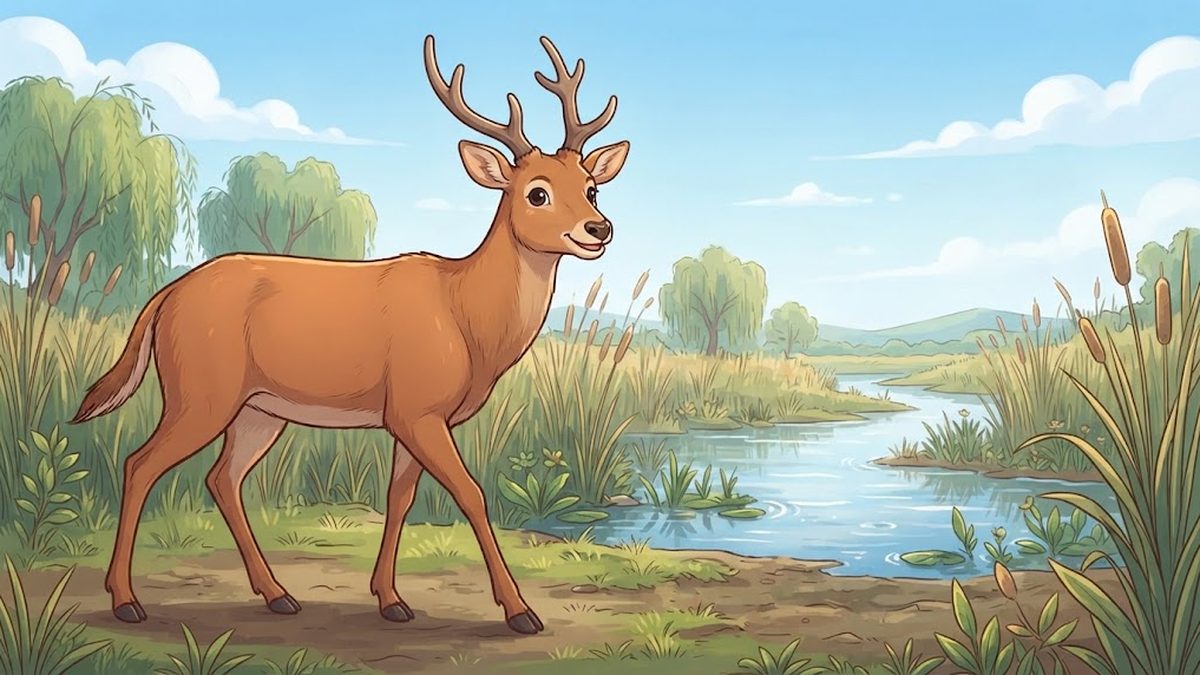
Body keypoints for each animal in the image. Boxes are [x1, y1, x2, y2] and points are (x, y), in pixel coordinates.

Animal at [69, 34, 629, 635]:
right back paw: (127, 601)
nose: (599, 229)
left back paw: (277, 595)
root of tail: (164, 298)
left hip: (258, 407)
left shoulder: (409, 415)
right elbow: (472, 494)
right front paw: (520, 611)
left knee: (222, 477)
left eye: (592, 187)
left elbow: (400, 496)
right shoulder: (417, 408)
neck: (465, 316)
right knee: (140, 464)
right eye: (537, 193)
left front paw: (391, 600)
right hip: (199, 391)